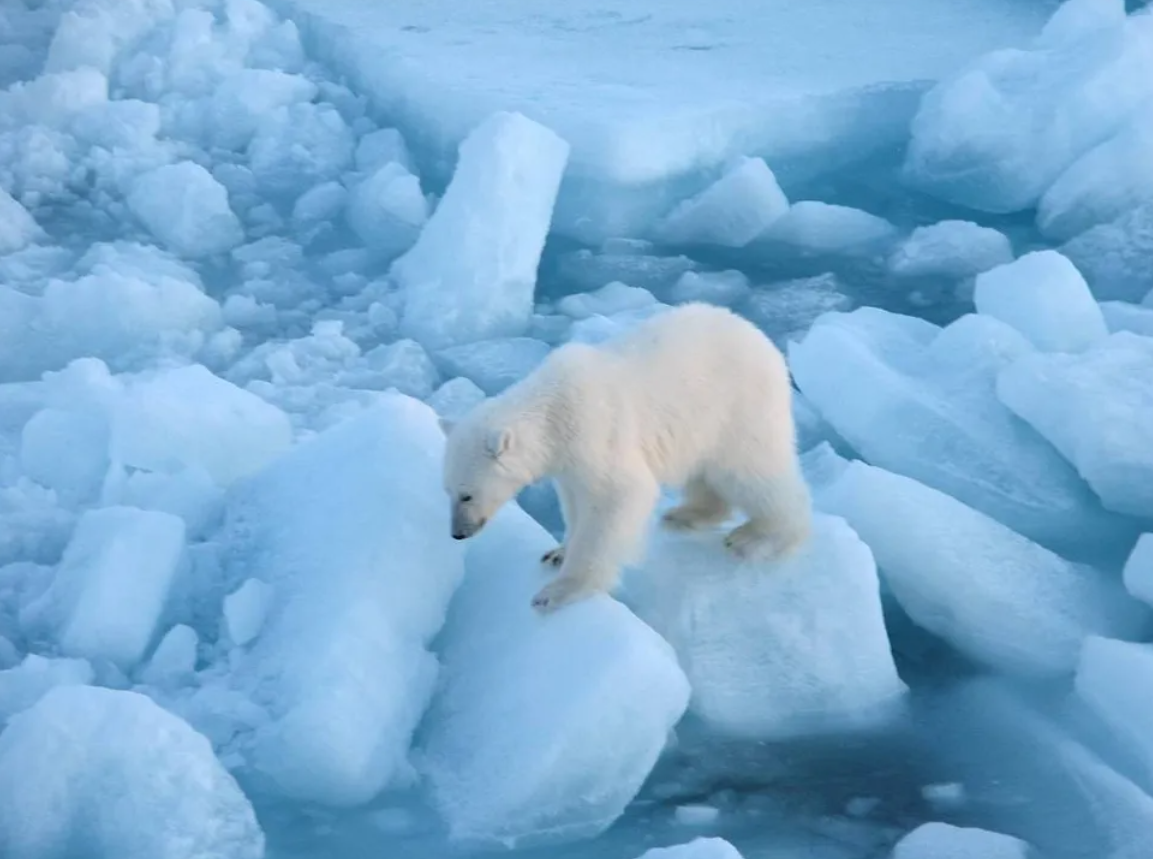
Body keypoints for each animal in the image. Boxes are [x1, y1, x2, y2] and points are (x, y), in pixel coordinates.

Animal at [438, 302, 811, 608]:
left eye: (467, 494)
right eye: (448, 491)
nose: (457, 534)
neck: (553, 408)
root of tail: (766, 344)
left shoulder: (594, 432)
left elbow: (617, 497)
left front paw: (560, 590)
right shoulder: (567, 463)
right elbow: (574, 504)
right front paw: (558, 552)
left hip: (739, 407)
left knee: (752, 471)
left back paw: (763, 538)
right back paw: (685, 514)